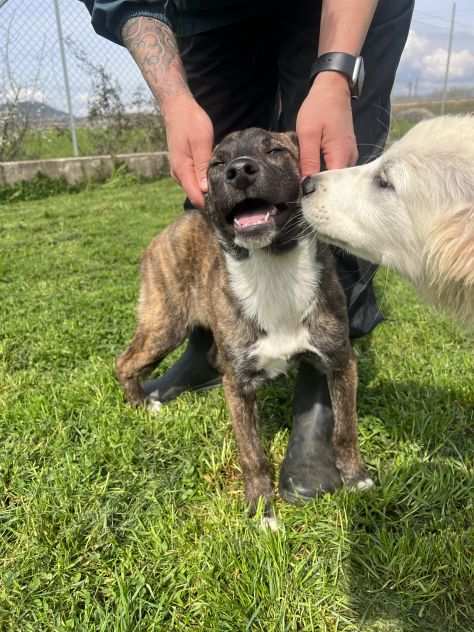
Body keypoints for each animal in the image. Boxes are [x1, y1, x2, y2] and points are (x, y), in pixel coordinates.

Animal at [116, 126, 372, 524]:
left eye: (276, 151)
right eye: (217, 164)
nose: (238, 171)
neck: (272, 269)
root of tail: (168, 230)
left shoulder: (340, 362)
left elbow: (345, 430)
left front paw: (356, 477)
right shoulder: (237, 387)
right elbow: (253, 454)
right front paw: (261, 510)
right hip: (165, 323)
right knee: (124, 363)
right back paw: (143, 404)